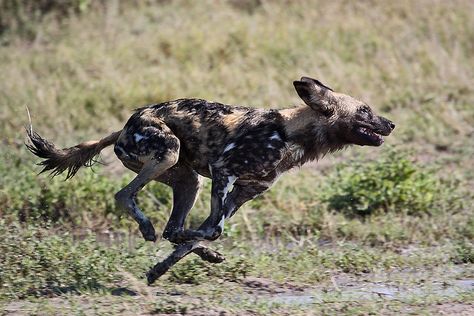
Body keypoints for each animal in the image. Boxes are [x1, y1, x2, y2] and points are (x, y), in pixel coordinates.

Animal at [26, 77, 396, 244]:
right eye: (365, 111)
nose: (391, 124)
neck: (290, 133)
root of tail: (125, 125)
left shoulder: (246, 191)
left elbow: (213, 227)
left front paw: (203, 246)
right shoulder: (223, 172)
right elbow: (214, 227)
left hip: (188, 180)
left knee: (173, 229)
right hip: (167, 151)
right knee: (124, 195)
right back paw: (148, 228)